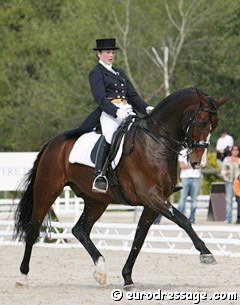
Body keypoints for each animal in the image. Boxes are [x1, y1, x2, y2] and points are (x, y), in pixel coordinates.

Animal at [14, 86, 228, 288]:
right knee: (34, 230)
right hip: (47, 190)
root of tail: (52, 143)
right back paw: (23, 277)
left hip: (96, 201)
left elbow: (138, 240)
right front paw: (206, 253)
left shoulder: (152, 205)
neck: (156, 142)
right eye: (202, 121)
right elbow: (183, 220)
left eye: (215, 124)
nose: (197, 161)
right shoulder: (152, 197)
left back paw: (100, 270)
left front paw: (127, 278)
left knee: (80, 230)